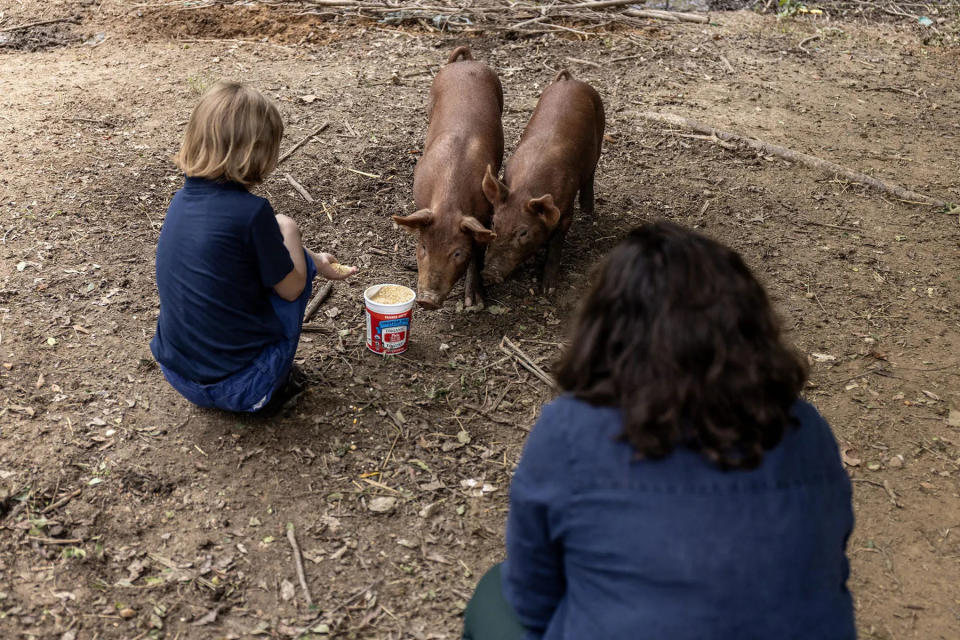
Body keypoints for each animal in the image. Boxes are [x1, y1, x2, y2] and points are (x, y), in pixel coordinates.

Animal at [394, 45, 506, 310]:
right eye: (423, 247)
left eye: (457, 253)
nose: (427, 300)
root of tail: (465, 63)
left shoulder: (484, 215)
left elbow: (477, 252)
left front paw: (474, 304)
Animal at [484, 69, 604, 296]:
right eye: (494, 223)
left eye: (523, 232)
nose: (490, 273)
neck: (526, 190)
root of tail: (570, 81)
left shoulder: (565, 211)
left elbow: (556, 245)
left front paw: (548, 290)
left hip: (601, 130)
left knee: (591, 173)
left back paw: (588, 211)